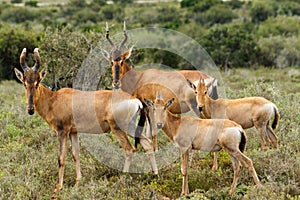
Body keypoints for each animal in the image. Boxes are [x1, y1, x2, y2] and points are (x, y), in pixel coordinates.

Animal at [14, 47, 159, 193]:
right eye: (25, 83)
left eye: (37, 82)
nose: (30, 109)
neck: (54, 99)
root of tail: (136, 100)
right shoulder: (73, 132)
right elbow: (75, 154)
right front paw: (78, 181)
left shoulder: (62, 132)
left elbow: (61, 157)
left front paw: (58, 187)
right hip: (132, 128)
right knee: (147, 144)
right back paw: (155, 175)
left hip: (120, 128)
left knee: (129, 150)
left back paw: (122, 179)